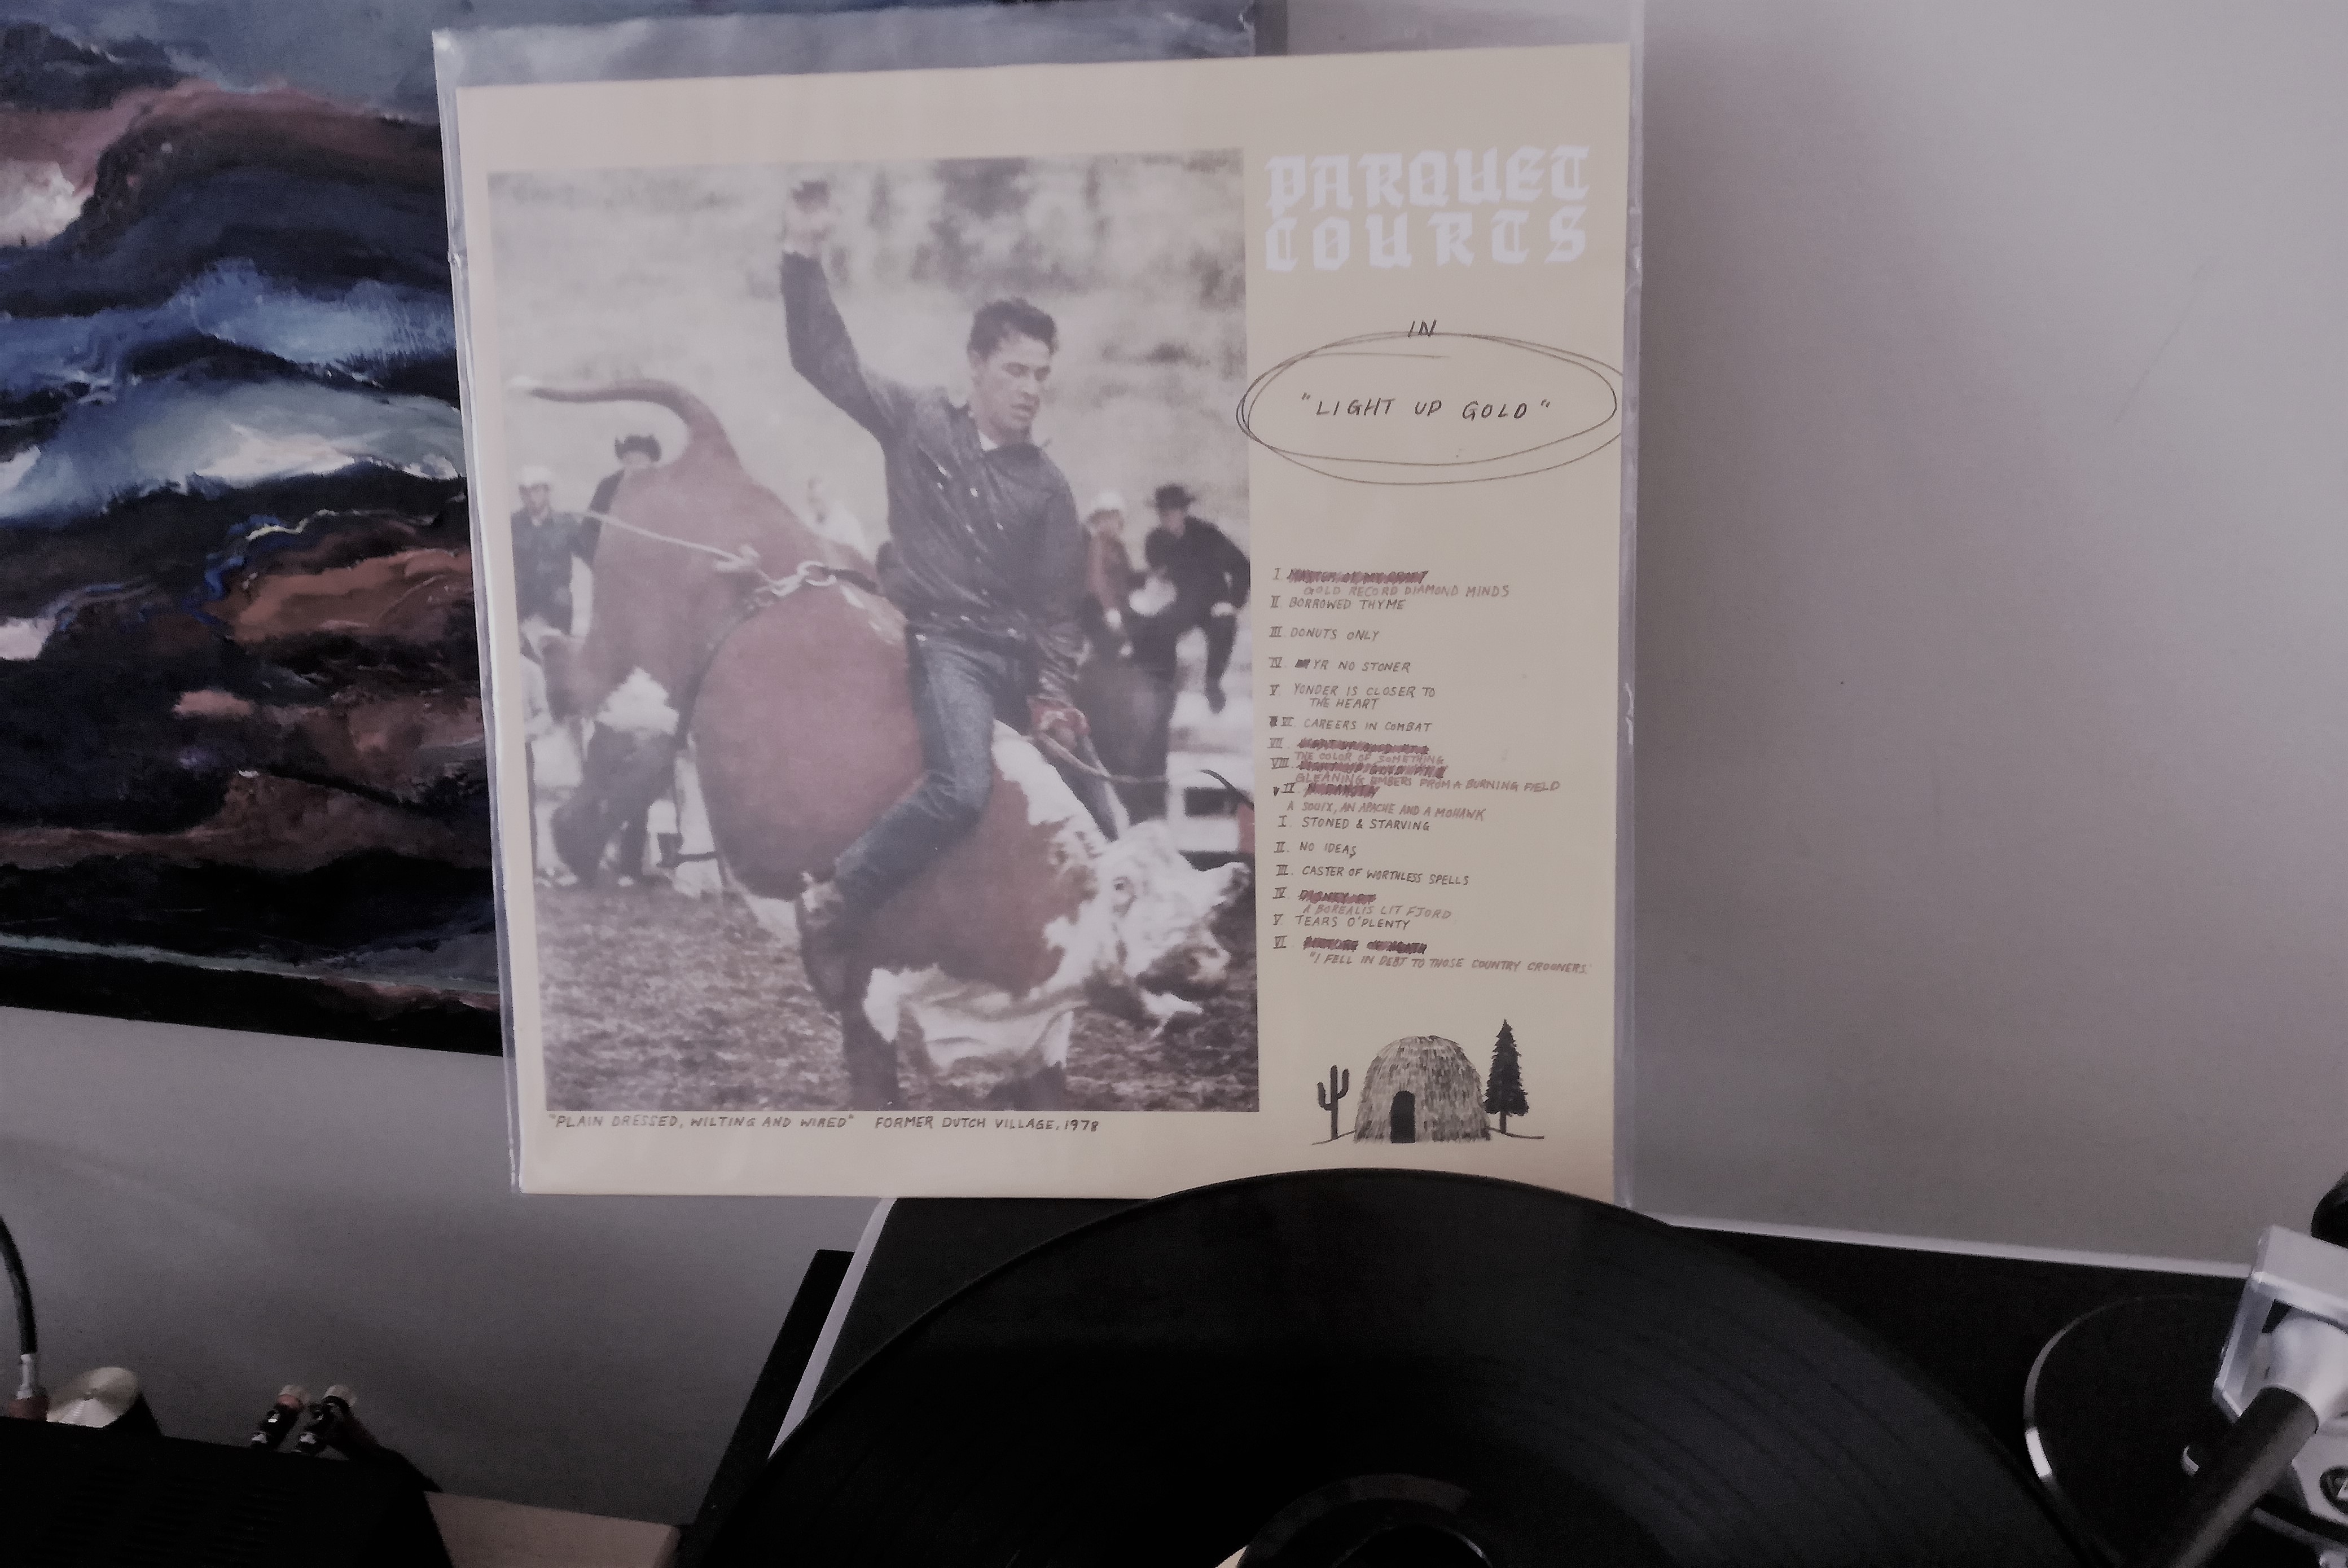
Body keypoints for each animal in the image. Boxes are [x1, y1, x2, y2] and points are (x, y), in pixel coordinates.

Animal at [521, 378, 1249, 1110]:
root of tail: (710, 458)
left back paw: (611, 855)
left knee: (634, 764)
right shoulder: (867, 988)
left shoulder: (1042, 1040)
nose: (1207, 961)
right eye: (1124, 886)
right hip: (628, 666)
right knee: (577, 689)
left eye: (1208, 904)